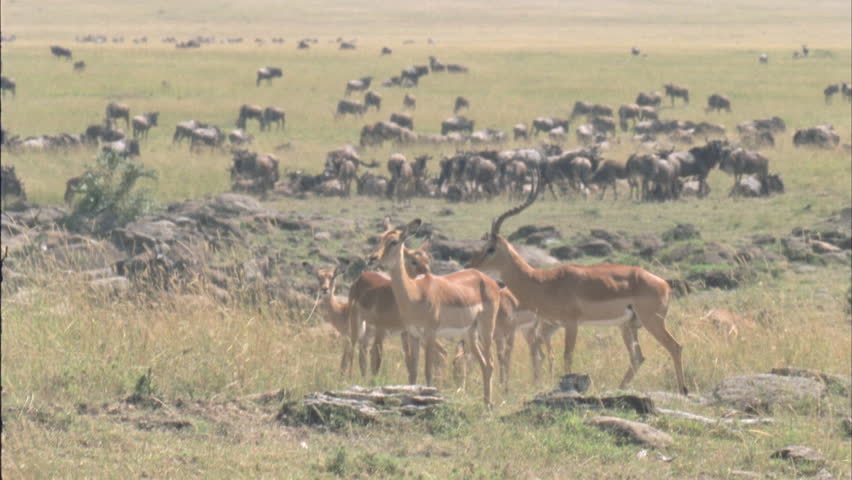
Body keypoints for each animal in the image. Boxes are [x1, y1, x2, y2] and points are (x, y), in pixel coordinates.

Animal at [364, 219, 500, 406]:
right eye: (379, 238)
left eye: (394, 241)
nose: (372, 258)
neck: (415, 293)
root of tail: (487, 280)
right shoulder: (413, 335)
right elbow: (413, 372)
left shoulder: (430, 333)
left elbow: (428, 371)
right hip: (470, 333)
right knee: (484, 364)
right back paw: (486, 405)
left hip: (486, 329)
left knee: (491, 363)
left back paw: (489, 406)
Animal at [462, 171, 688, 396]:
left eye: (491, 248)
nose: (469, 265)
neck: (543, 282)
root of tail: (664, 284)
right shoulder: (554, 325)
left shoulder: (571, 324)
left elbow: (567, 356)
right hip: (628, 325)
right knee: (638, 357)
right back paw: (619, 389)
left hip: (652, 321)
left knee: (675, 347)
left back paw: (683, 390)